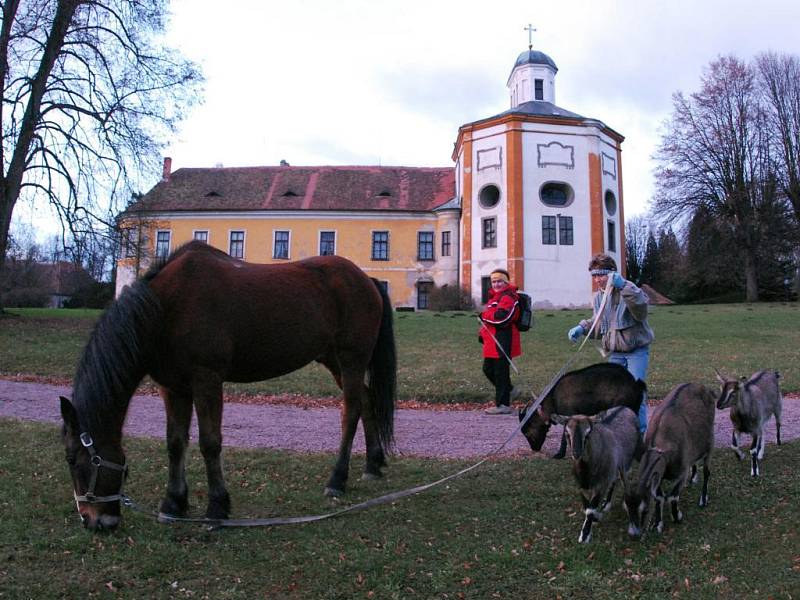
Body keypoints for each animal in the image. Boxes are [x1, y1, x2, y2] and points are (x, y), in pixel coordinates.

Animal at [57, 240, 396, 528]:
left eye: (73, 459)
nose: (93, 521)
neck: (167, 308)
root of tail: (367, 280)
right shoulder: (173, 387)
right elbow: (175, 443)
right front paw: (173, 503)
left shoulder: (207, 381)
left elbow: (210, 442)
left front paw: (217, 507)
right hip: (335, 361)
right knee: (366, 402)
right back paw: (372, 464)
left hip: (352, 359)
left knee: (351, 412)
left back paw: (337, 480)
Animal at [552, 408, 640, 544]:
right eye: (566, 433)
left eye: (588, 434)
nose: (576, 453)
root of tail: (625, 407)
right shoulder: (582, 486)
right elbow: (587, 507)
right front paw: (594, 519)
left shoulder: (601, 484)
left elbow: (590, 509)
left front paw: (585, 536)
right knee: (614, 480)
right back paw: (606, 504)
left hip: (625, 462)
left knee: (623, 482)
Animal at [620, 384, 716, 540]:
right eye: (626, 508)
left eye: (645, 510)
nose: (634, 535)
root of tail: (703, 387)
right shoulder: (659, 474)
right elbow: (659, 497)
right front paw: (657, 524)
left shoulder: (682, 471)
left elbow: (672, 496)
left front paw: (677, 517)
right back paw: (693, 479)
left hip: (710, 442)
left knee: (707, 471)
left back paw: (703, 499)